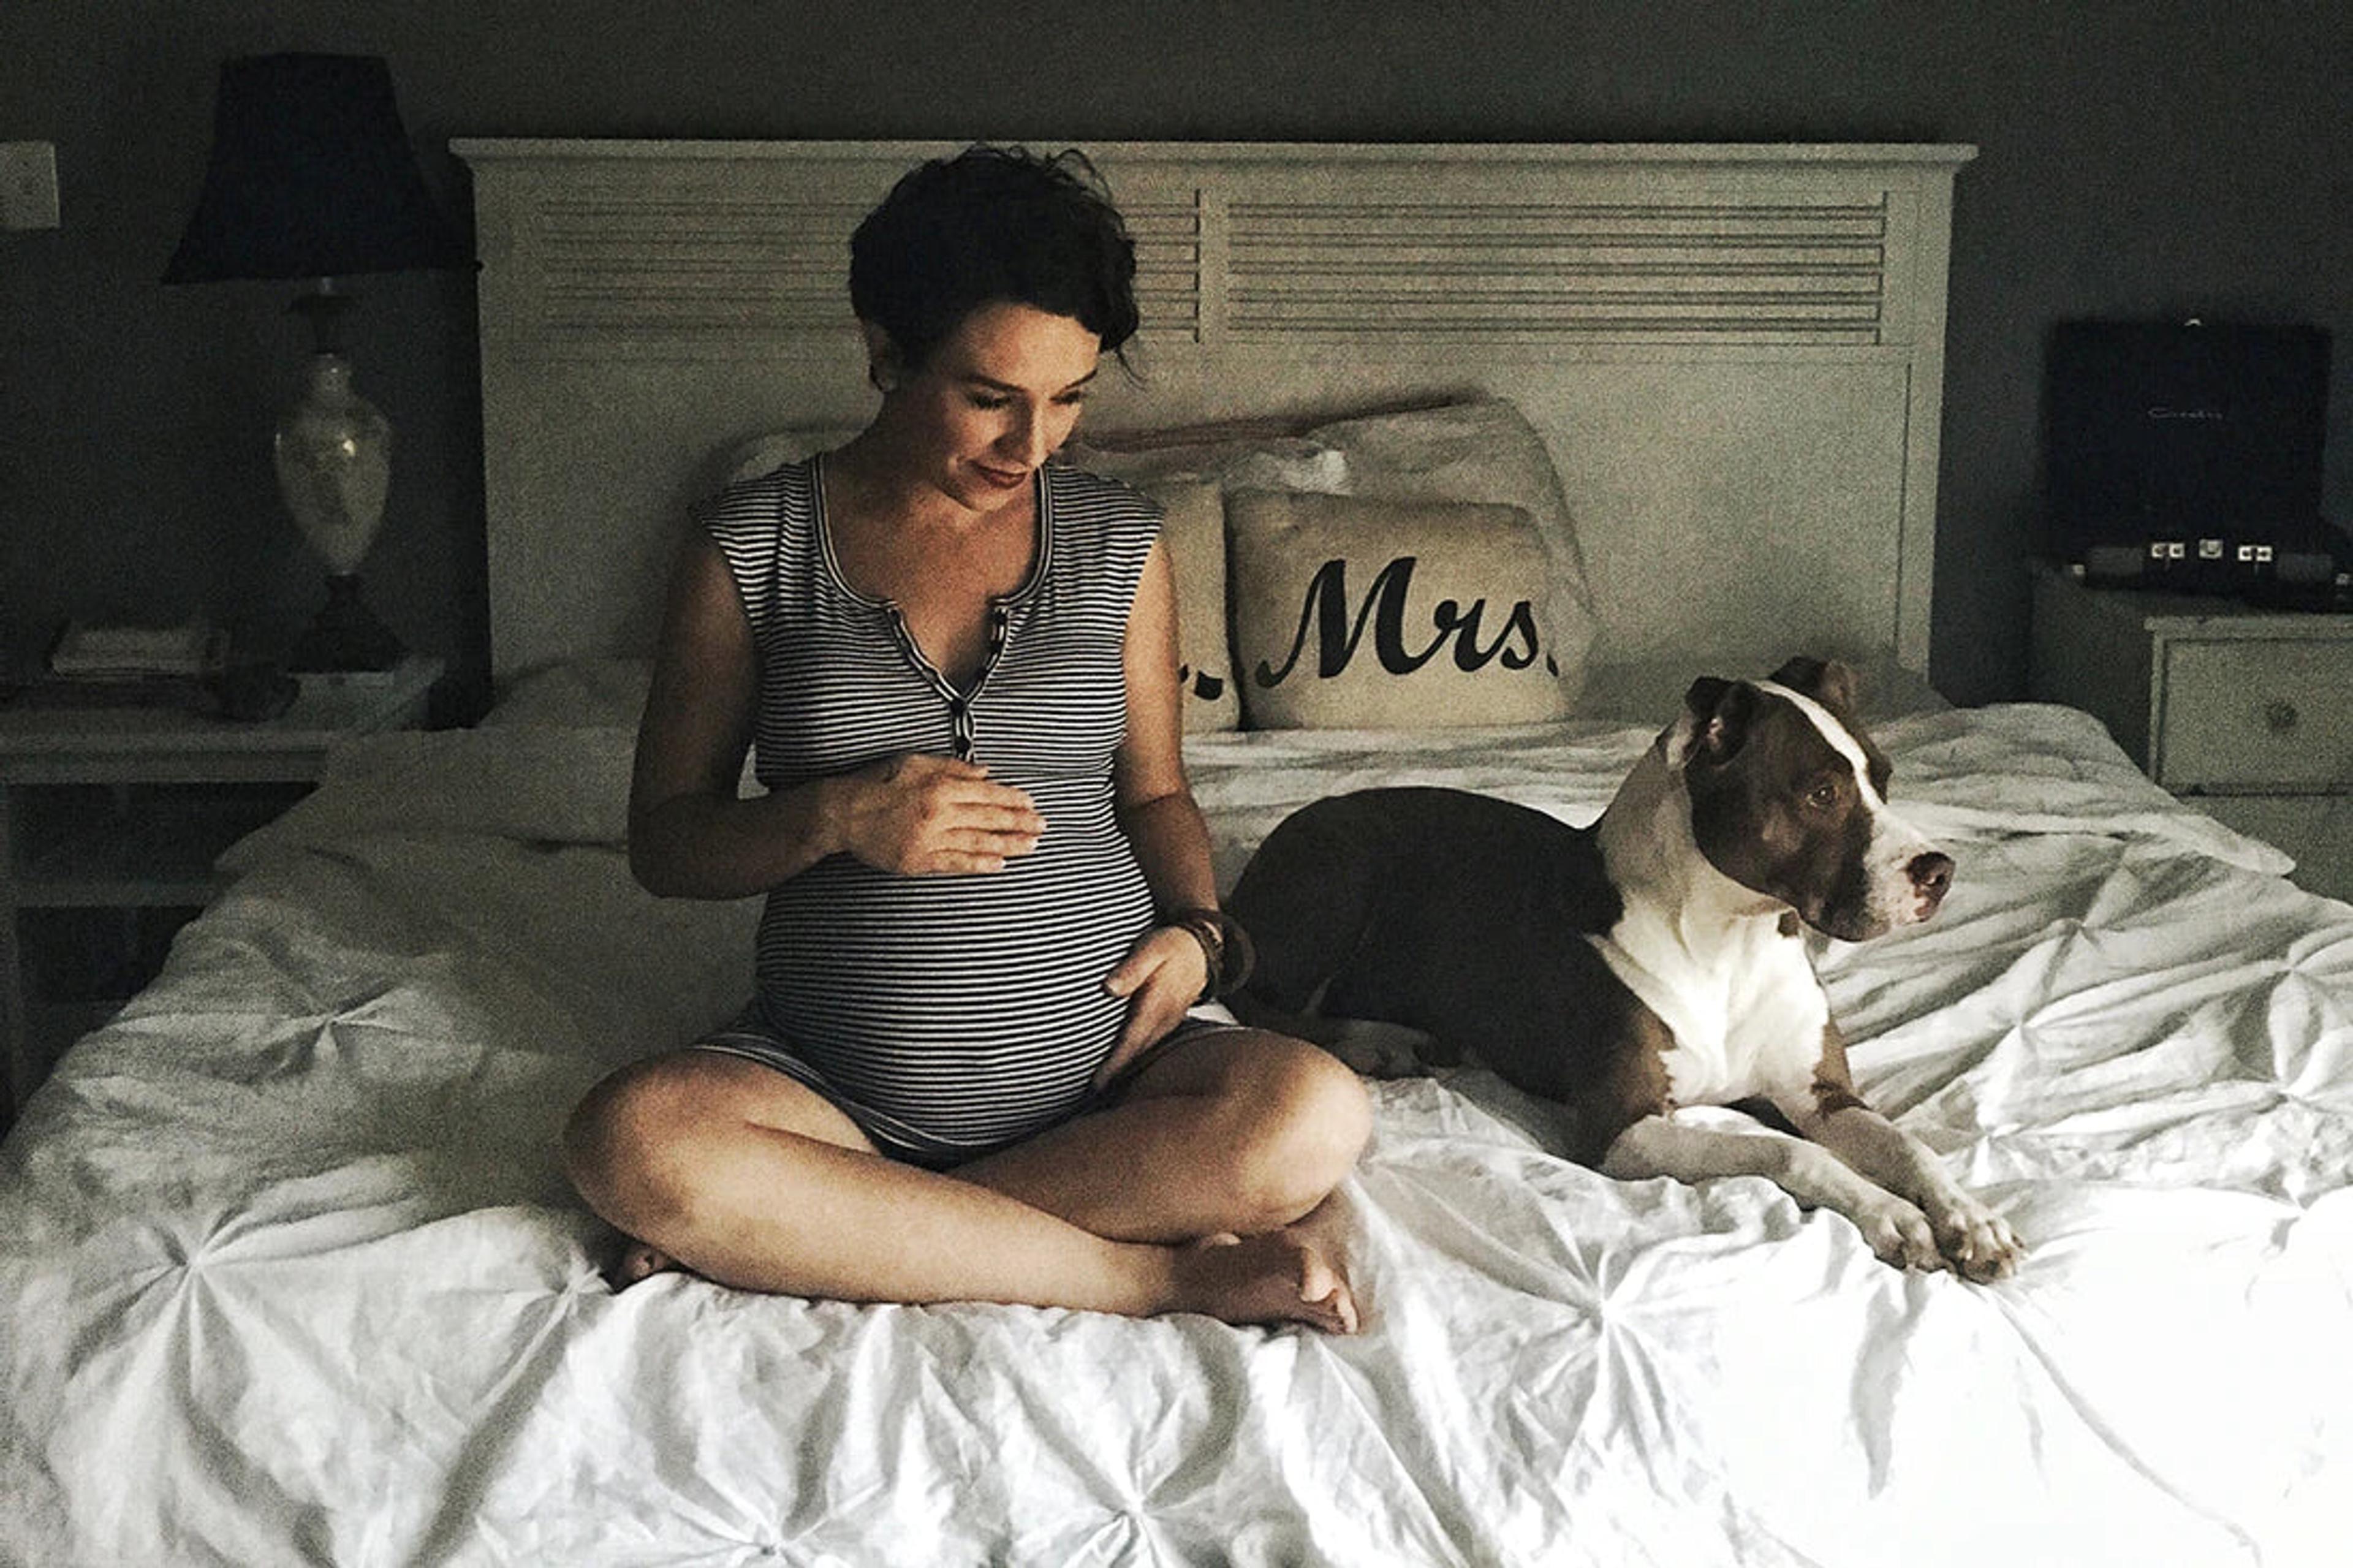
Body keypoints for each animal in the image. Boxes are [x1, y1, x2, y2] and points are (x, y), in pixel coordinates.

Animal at [1226, 657, 2022, 1281]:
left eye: (1884, 779)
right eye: (1821, 793)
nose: (1940, 871)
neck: (1730, 941)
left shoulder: (1821, 1094)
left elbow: (1908, 1145)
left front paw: (1967, 1215)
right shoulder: (1623, 1127)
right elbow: (1788, 1153)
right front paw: (1891, 1215)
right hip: (1341, 875)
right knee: (1258, 1003)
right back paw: (1378, 1040)